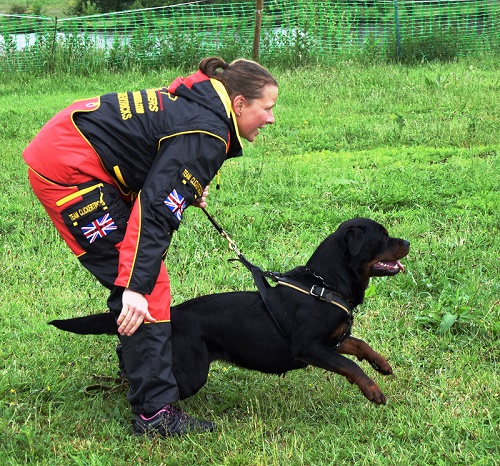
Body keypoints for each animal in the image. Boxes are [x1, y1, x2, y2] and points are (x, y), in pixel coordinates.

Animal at [50, 218, 410, 404]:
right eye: (382, 236)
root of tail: (173, 314)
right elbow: (349, 365)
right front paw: (373, 390)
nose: (406, 242)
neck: (325, 284)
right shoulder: (308, 347)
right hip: (193, 372)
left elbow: (358, 345)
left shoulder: (331, 341)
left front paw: (381, 364)